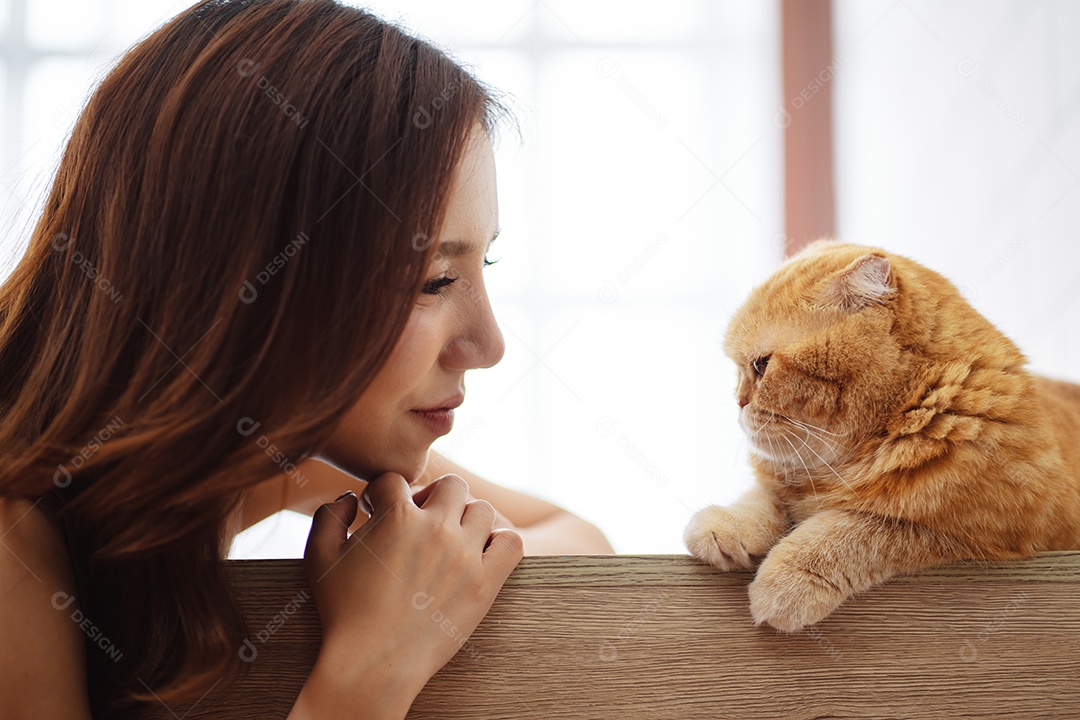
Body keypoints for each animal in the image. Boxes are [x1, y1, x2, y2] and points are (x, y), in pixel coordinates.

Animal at [682, 240, 1080, 630]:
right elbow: (763, 499)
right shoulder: (784, 482)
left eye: (761, 365)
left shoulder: (974, 530)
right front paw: (730, 523)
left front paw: (789, 578)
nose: (738, 401)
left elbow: (854, 527)